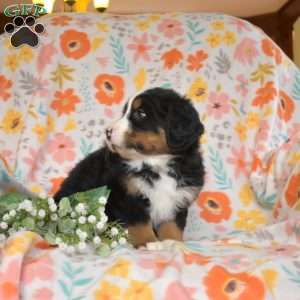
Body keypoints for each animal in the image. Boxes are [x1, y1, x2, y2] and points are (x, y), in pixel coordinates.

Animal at [54, 88, 205, 247]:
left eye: (141, 113)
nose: (107, 132)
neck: (156, 162)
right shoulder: (127, 195)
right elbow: (140, 223)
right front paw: (149, 243)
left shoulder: (179, 198)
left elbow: (172, 224)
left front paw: (173, 242)